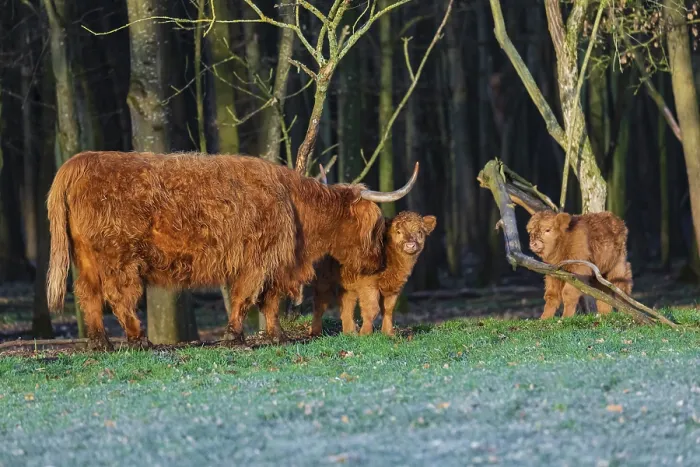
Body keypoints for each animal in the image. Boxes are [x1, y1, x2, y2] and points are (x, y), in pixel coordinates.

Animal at [46, 151, 418, 350]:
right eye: (377, 226)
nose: (378, 262)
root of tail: (77, 162)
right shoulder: (261, 258)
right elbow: (248, 297)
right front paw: (235, 336)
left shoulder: (274, 262)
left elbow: (269, 301)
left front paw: (276, 335)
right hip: (118, 255)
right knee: (117, 295)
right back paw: (139, 339)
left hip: (86, 257)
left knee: (88, 294)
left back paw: (100, 343)